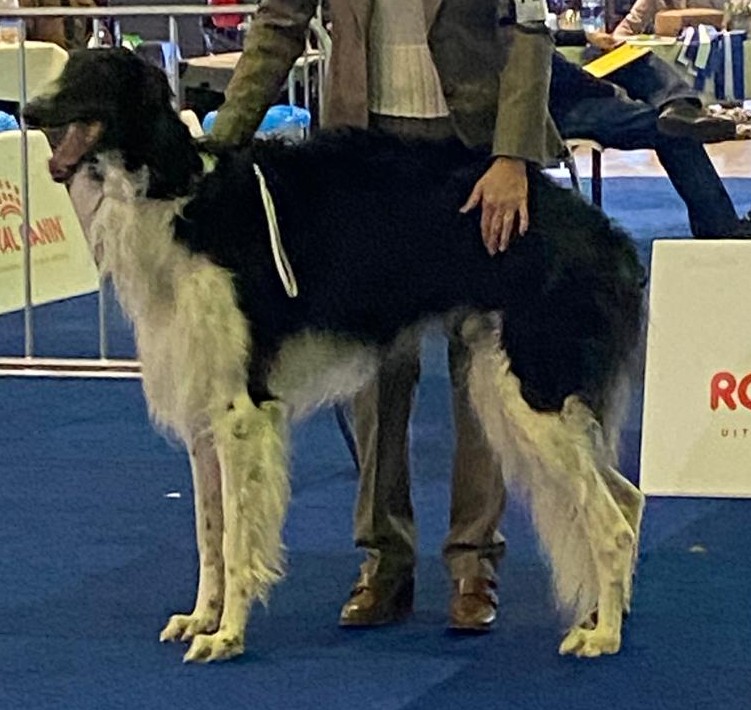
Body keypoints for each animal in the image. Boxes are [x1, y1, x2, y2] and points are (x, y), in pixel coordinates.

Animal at [25, 48, 646, 663]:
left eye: (94, 75)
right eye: (65, 68)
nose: (28, 110)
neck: (178, 195)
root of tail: (607, 234)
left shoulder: (241, 411)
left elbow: (235, 539)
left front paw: (227, 635)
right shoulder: (203, 410)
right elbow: (209, 533)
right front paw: (200, 618)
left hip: (531, 391)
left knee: (612, 524)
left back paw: (605, 636)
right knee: (629, 500)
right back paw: (607, 615)